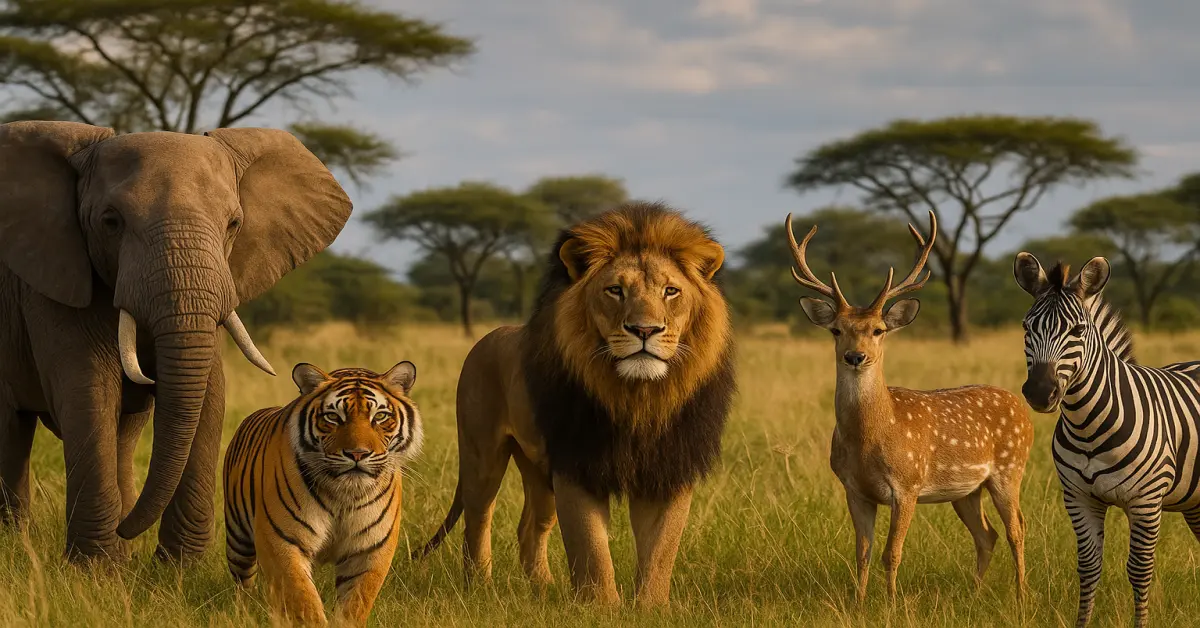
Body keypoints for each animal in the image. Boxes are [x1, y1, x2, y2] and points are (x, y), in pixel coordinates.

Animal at [0, 120, 352, 561]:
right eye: (111, 222)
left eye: (234, 224)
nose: (126, 529)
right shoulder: (52, 280)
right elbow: (89, 390)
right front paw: (97, 569)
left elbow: (209, 395)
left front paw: (177, 569)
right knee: (11, 430)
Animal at [414, 201, 736, 607]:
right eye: (615, 290)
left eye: (670, 291)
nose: (644, 330)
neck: (638, 397)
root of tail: (488, 336)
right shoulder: (576, 464)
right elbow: (591, 547)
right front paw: (602, 608)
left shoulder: (668, 469)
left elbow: (661, 550)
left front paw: (650, 608)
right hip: (482, 454)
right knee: (478, 520)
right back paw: (480, 590)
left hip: (537, 469)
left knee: (529, 528)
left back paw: (544, 590)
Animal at [785, 209, 1032, 603]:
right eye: (836, 330)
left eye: (879, 329)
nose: (856, 356)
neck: (872, 437)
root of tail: (1022, 407)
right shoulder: (853, 489)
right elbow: (862, 552)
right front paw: (858, 603)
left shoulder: (908, 485)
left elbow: (892, 552)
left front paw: (890, 604)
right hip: (966, 490)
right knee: (986, 534)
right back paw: (975, 594)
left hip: (1010, 469)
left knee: (1017, 528)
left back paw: (1022, 596)